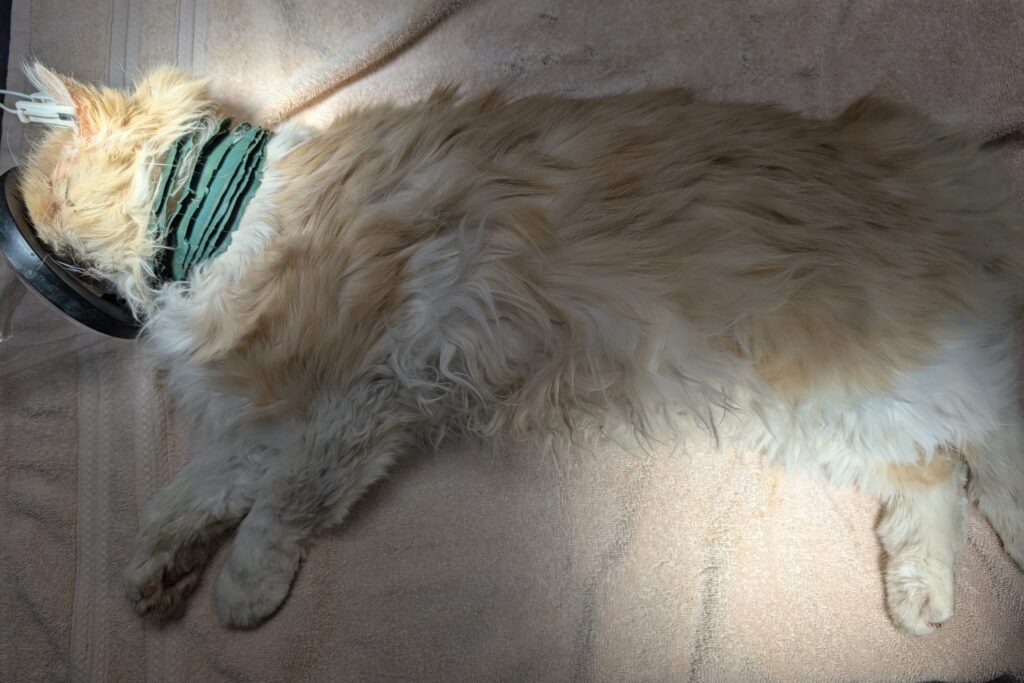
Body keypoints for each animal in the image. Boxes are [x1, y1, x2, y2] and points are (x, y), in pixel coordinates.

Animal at [14, 61, 1024, 634]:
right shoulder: (276, 413)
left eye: (51, 190)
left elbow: (279, 505)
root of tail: (946, 173)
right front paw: (158, 572)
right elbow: (193, 491)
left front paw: (241, 590)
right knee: (938, 473)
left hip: (886, 374)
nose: (33, 232)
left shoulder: (363, 389)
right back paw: (922, 596)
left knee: (989, 443)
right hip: (828, 412)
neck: (233, 218)